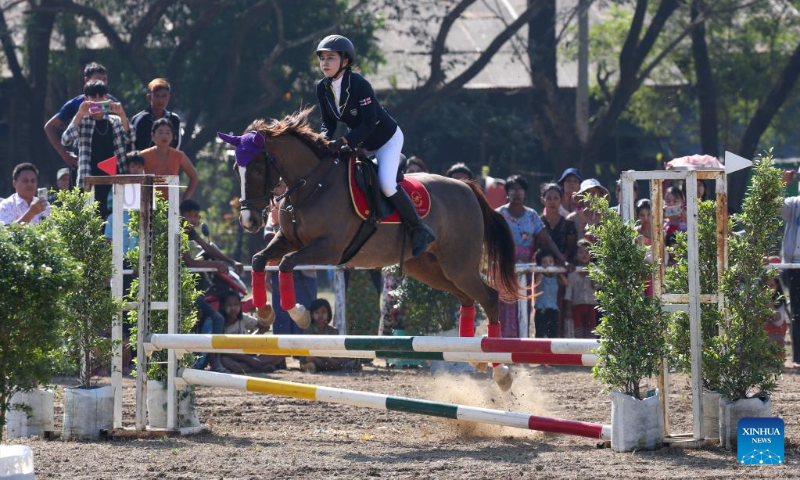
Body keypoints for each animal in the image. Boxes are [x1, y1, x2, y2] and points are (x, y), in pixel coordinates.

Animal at [225, 109, 524, 390]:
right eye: (236, 168)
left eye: (257, 168)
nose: (249, 221)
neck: (313, 185)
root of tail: (467, 188)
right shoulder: (290, 240)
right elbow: (259, 260)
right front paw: (266, 313)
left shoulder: (329, 249)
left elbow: (286, 262)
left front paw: (300, 315)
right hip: (430, 268)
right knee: (466, 298)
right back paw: (476, 359)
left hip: (458, 265)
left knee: (489, 297)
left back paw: (501, 371)